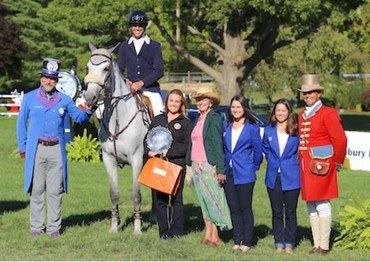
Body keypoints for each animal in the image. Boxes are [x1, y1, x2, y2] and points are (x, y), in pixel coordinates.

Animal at [83, 43, 149, 235]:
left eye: (106, 68)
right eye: (87, 68)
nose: (89, 98)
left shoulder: (136, 159)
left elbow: (136, 194)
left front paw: (137, 229)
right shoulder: (109, 159)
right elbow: (113, 193)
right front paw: (114, 226)